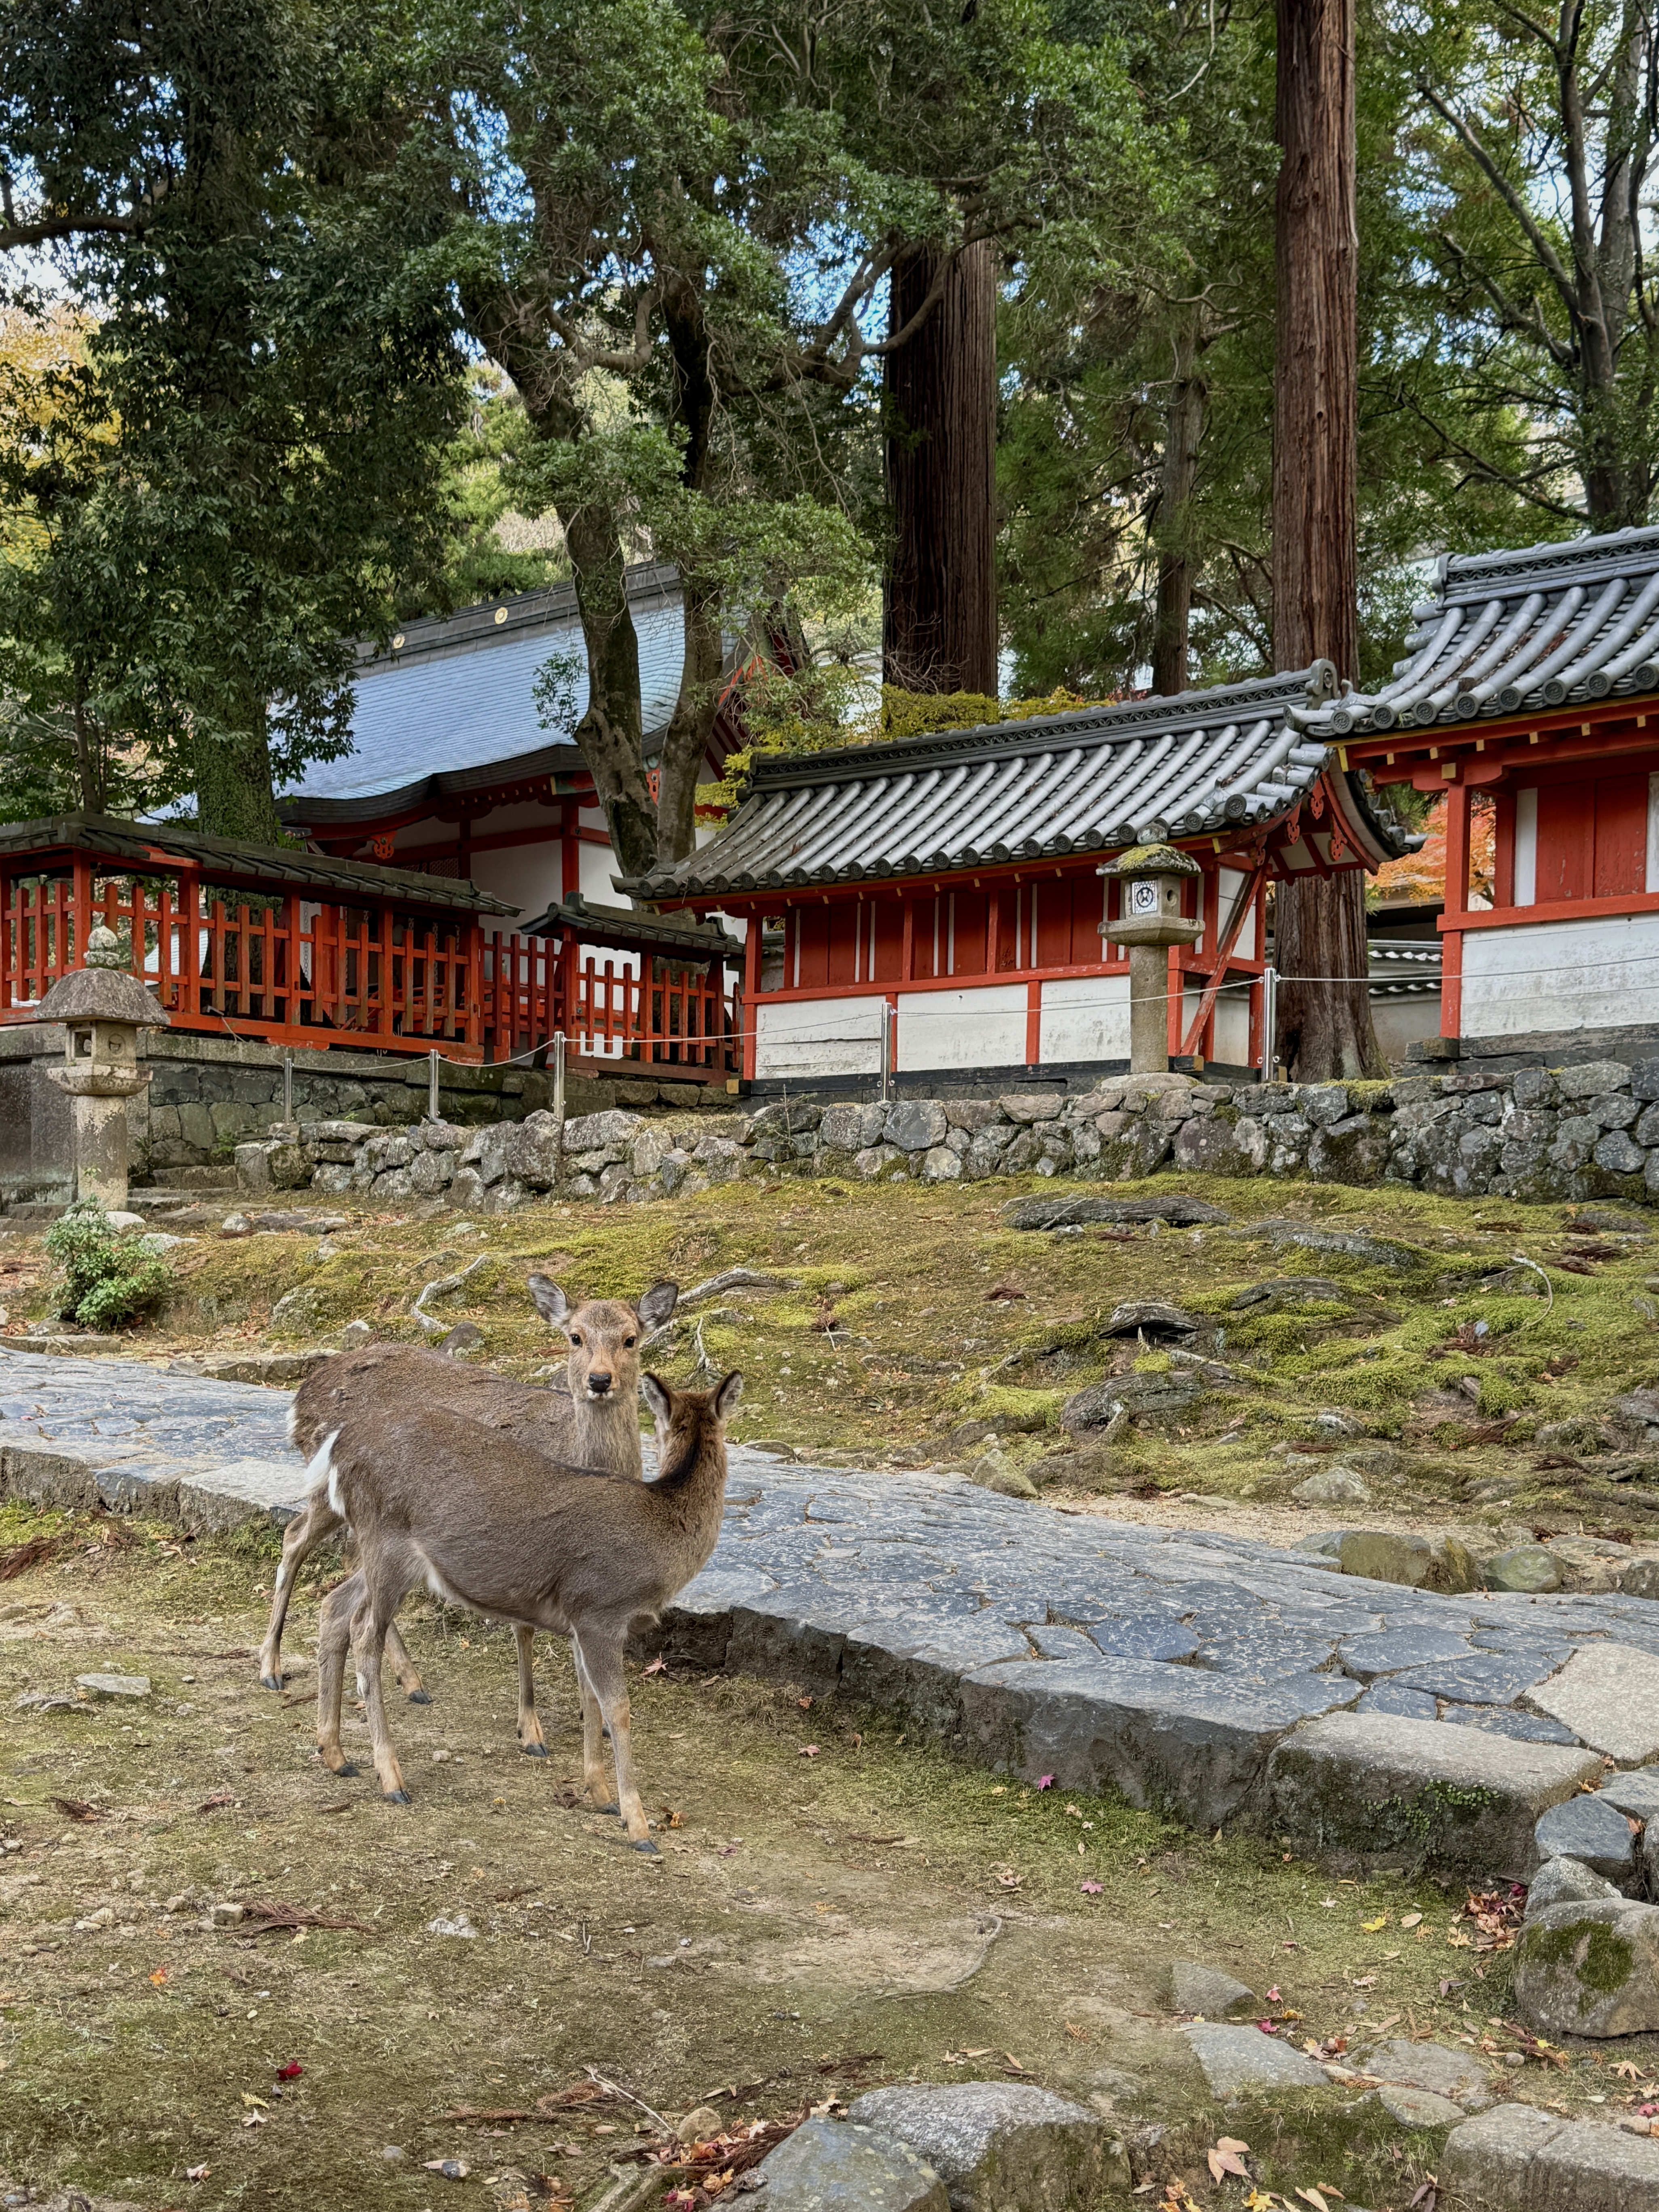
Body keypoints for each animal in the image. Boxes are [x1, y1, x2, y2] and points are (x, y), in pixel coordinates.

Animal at [257, 1275, 679, 1759]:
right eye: (575, 1337)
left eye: (631, 1338)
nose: (599, 1379)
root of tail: (300, 1399)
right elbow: (524, 1630)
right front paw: (531, 1731)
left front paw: (594, 1721)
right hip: (332, 1491)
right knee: (295, 1538)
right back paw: (271, 1667)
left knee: (344, 1561)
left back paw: (410, 1681)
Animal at [310, 1368, 742, 1848]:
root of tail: (337, 1447)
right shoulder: (600, 1609)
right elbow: (617, 1708)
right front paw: (638, 1824)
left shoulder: (579, 1621)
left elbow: (589, 1697)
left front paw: (600, 1795)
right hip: (386, 1543)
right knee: (366, 1633)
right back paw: (391, 1778)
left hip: (386, 1558)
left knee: (334, 1606)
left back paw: (335, 1754)